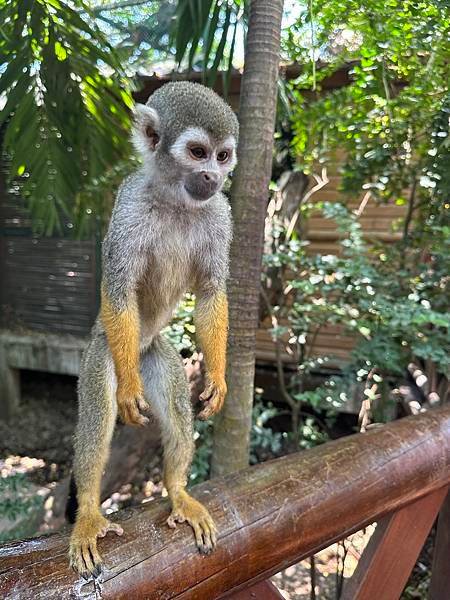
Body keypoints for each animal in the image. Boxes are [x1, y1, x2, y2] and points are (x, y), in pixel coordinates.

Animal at [68, 82, 237, 580]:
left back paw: (177, 490)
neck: (175, 197)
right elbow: (119, 289)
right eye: (198, 152)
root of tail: (138, 349)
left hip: (157, 355)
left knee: (178, 413)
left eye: (223, 156)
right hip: (105, 350)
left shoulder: (220, 213)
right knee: (98, 414)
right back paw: (89, 511)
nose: (213, 177)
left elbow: (211, 293)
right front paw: (126, 395)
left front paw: (217, 378)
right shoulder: (127, 204)